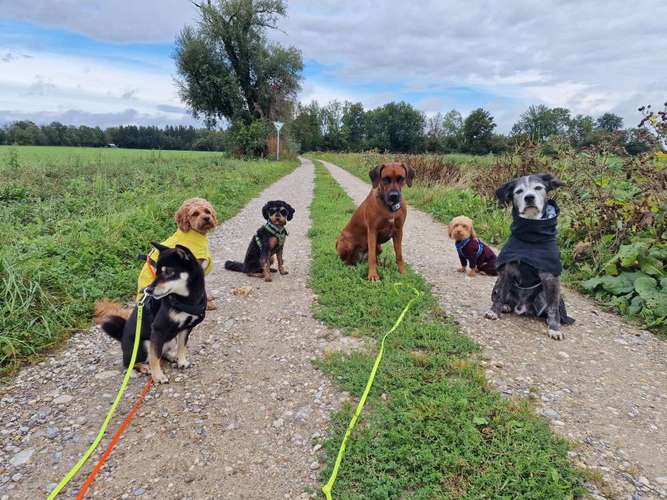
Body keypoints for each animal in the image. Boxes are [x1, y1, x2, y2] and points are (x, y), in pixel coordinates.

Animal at [486, 174, 576, 342]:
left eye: (538, 188)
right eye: (518, 191)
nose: (529, 197)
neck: (531, 238)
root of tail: (522, 307)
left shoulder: (550, 277)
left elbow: (553, 308)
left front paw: (554, 329)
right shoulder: (507, 270)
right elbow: (500, 294)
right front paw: (494, 311)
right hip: (498, 283)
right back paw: (506, 306)